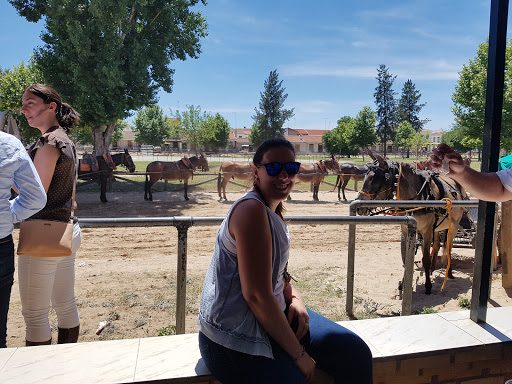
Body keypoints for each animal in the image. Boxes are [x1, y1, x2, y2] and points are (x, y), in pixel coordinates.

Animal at [358, 151, 466, 294]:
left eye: (375, 179)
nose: (359, 207)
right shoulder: (406, 230)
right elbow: (407, 260)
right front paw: (404, 283)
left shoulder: (426, 232)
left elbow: (425, 259)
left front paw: (428, 285)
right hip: (437, 228)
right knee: (437, 245)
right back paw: (432, 269)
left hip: (453, 226)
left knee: (448, 247)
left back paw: (450, 272)